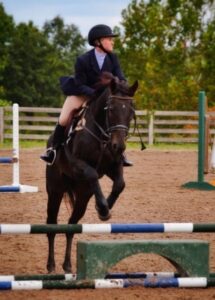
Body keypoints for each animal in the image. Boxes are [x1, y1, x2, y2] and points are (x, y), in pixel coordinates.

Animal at [46, 72, 139, 272]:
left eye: (131, 111)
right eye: (110, 110)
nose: (119, 146)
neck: (102, 135)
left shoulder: (113, 166)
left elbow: (120, 184)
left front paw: (104, 209)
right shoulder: (77, 164)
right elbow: (92, 174)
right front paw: (102, 207)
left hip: (82, 197)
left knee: (71, 226)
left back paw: (67, 265)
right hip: (55, 190)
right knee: (51, 224)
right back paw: (51, 265)